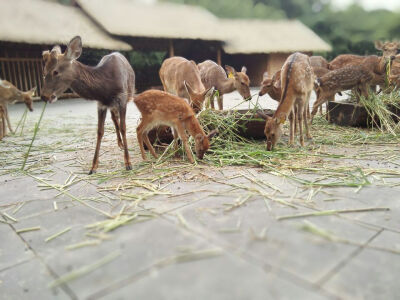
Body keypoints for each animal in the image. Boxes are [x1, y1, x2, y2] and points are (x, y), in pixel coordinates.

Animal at [40, 36, 135, 175]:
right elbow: (100, 131)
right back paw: (119, 143)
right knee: (114, 118)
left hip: (128, 94)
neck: (106, 89)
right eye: (44, 72)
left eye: (55, 71)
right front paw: (93, 167)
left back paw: (122, 144)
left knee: (117, 120)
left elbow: (123, 127)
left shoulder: (122, 98)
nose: (44, 96)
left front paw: (128, 163)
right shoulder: (101, 104)